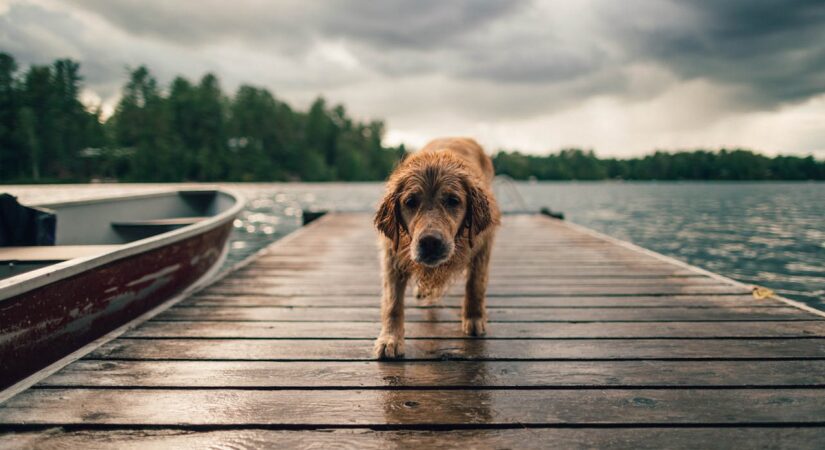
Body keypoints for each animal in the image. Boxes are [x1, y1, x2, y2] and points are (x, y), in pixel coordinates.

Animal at [374, 137, 502, 358]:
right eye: (410, 201)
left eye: (453, 201)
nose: (430, 242)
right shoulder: (392, 253)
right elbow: (392, 302)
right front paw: (390, 339)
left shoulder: (483, 243)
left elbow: (475, 284)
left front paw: (474, 317)